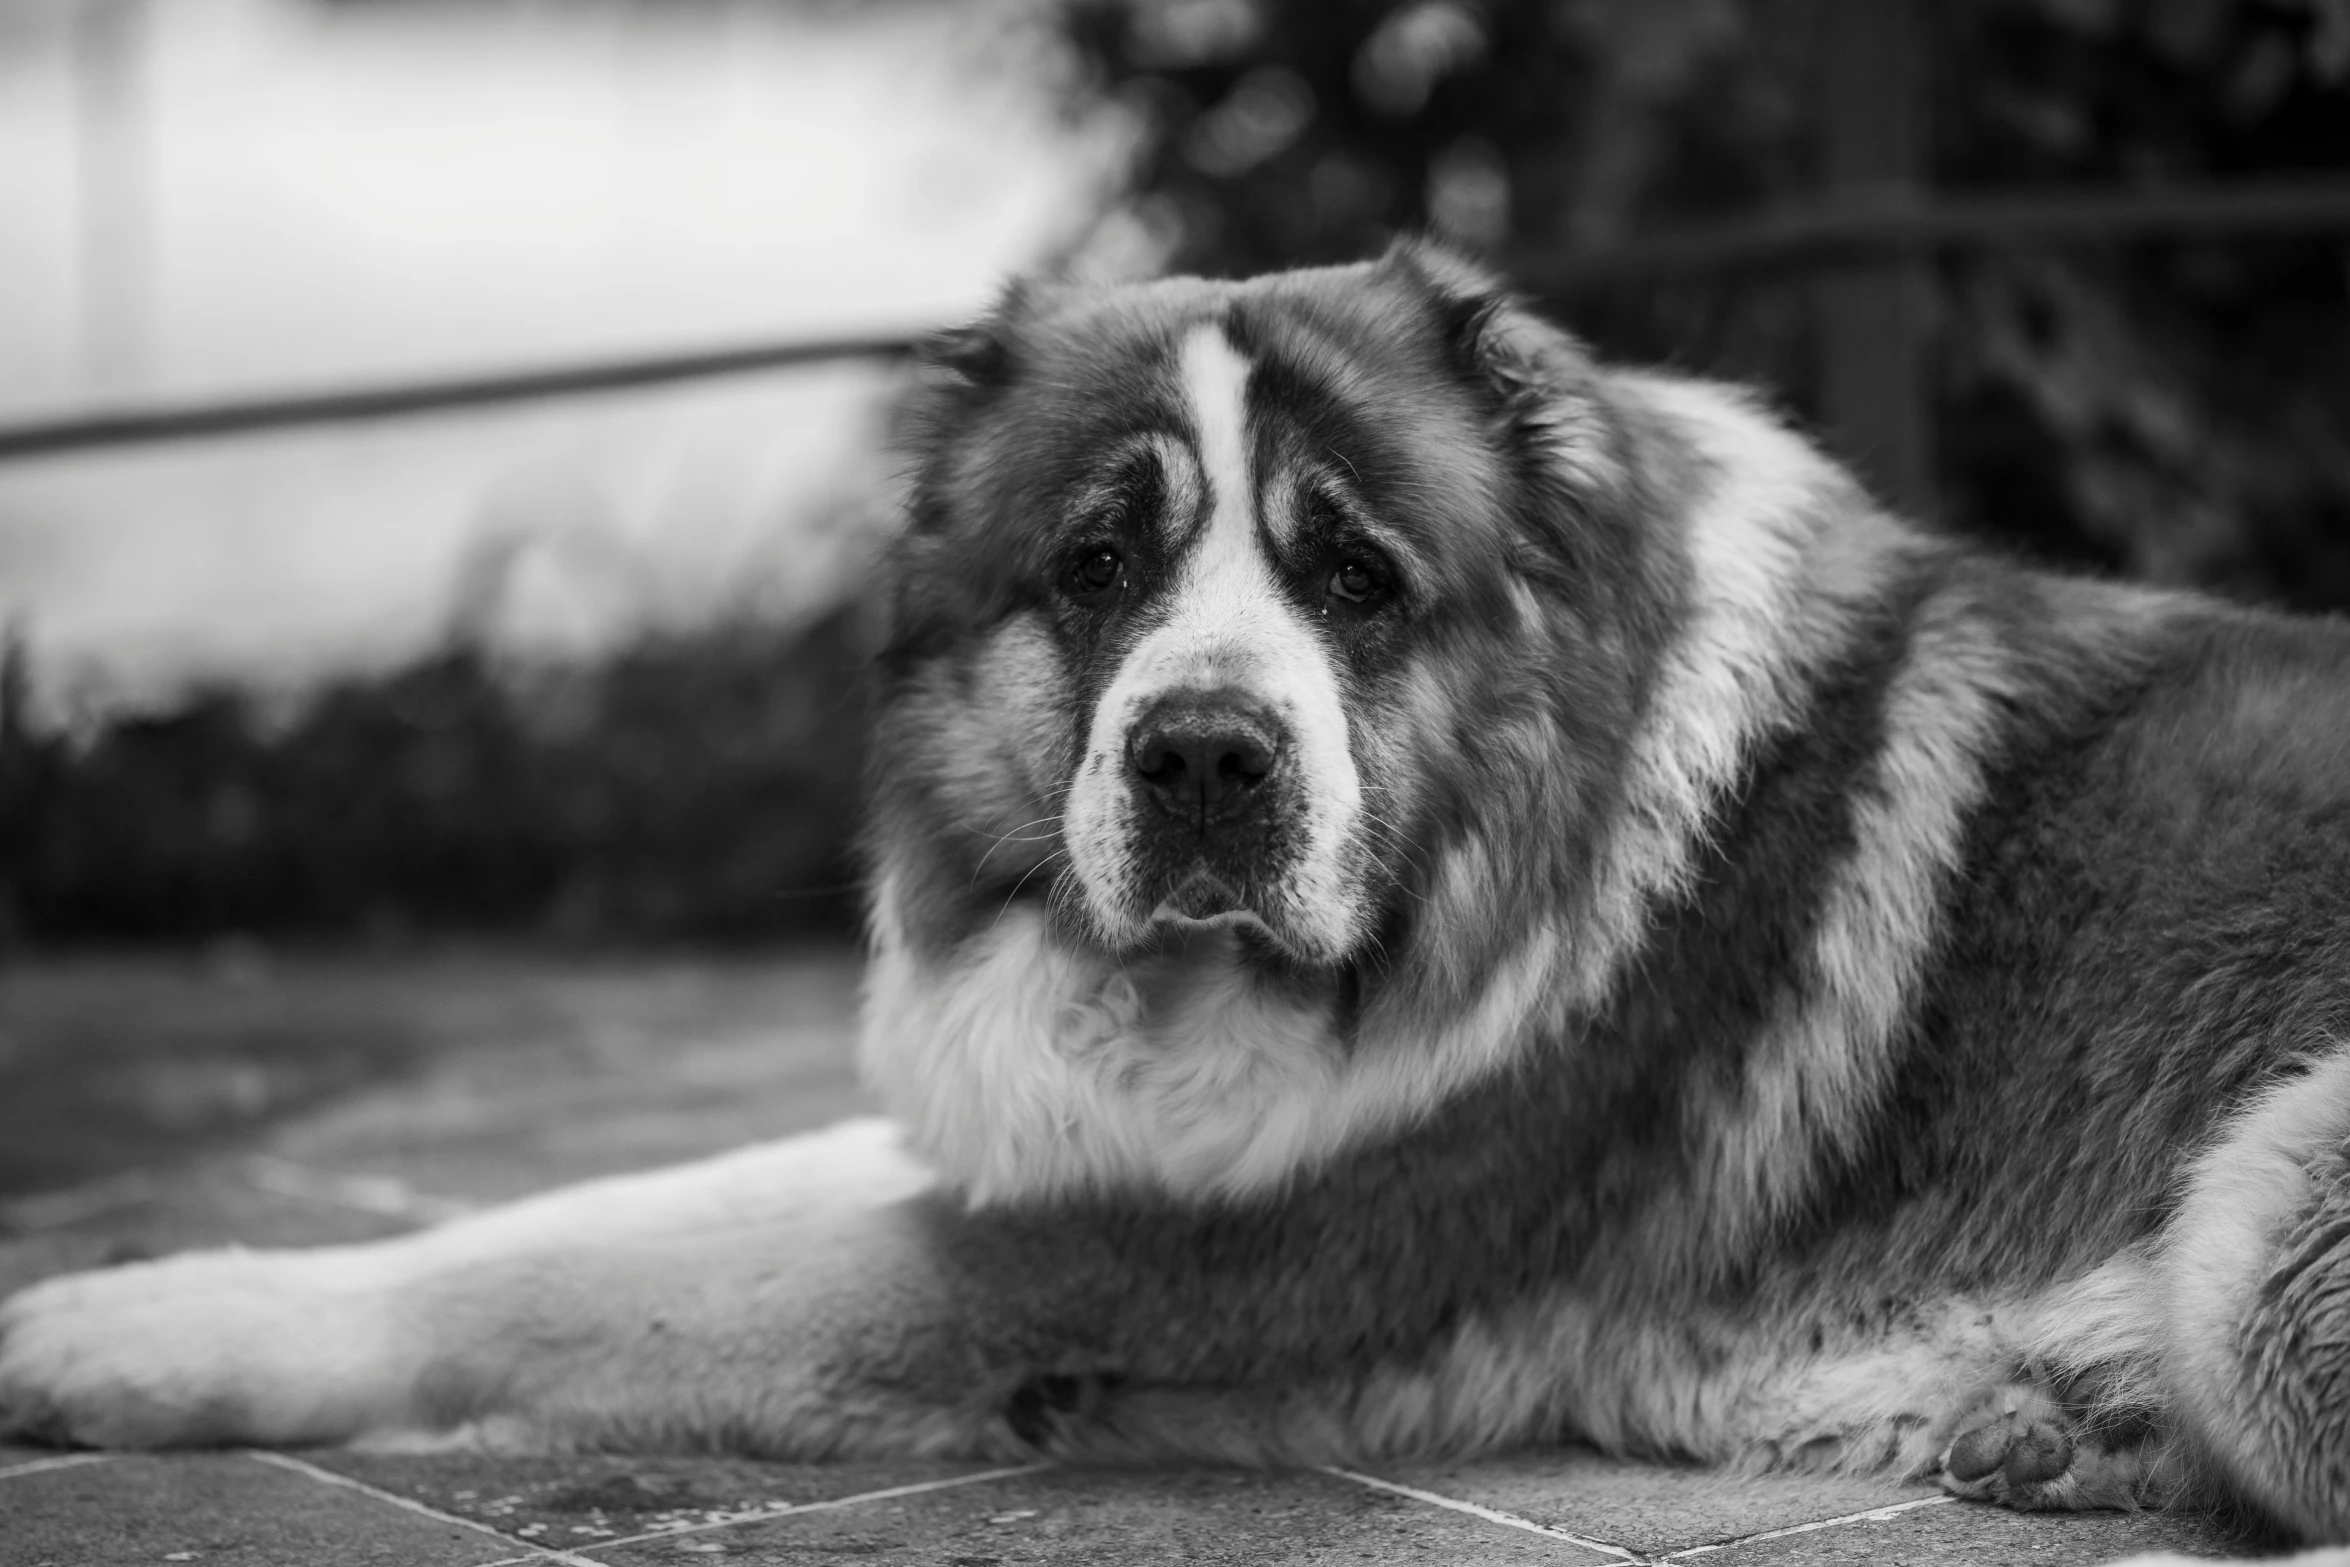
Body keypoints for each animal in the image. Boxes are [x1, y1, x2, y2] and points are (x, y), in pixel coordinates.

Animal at [13, 239, 2350, 1550]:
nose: (1207, 757)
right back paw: (2062, 1422)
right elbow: (578, 1209)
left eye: (1356, 576)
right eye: (1096, 563)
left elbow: (581, 1286)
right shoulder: (1061, 1140)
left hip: (2271, 1230)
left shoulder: (1160, 1255)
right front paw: (141, 1309)